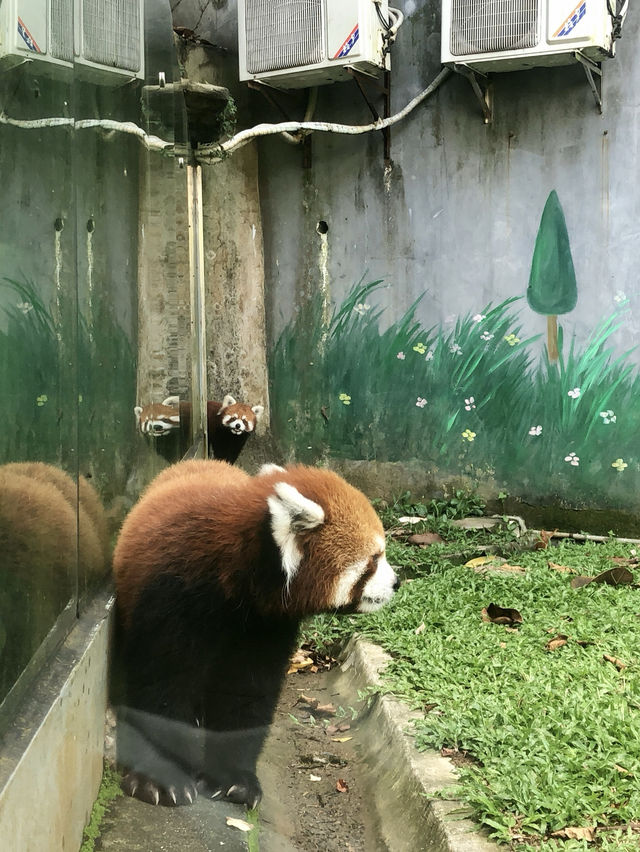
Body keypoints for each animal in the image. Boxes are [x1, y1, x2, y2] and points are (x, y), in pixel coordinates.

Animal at [112, 462, 398, 808]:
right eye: (374, 559)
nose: (396, 583)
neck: (236, 580)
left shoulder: (266, 624)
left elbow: (247, 693)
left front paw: (234, 778)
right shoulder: (171, 596)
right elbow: (163, 683)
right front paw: (159, 778)